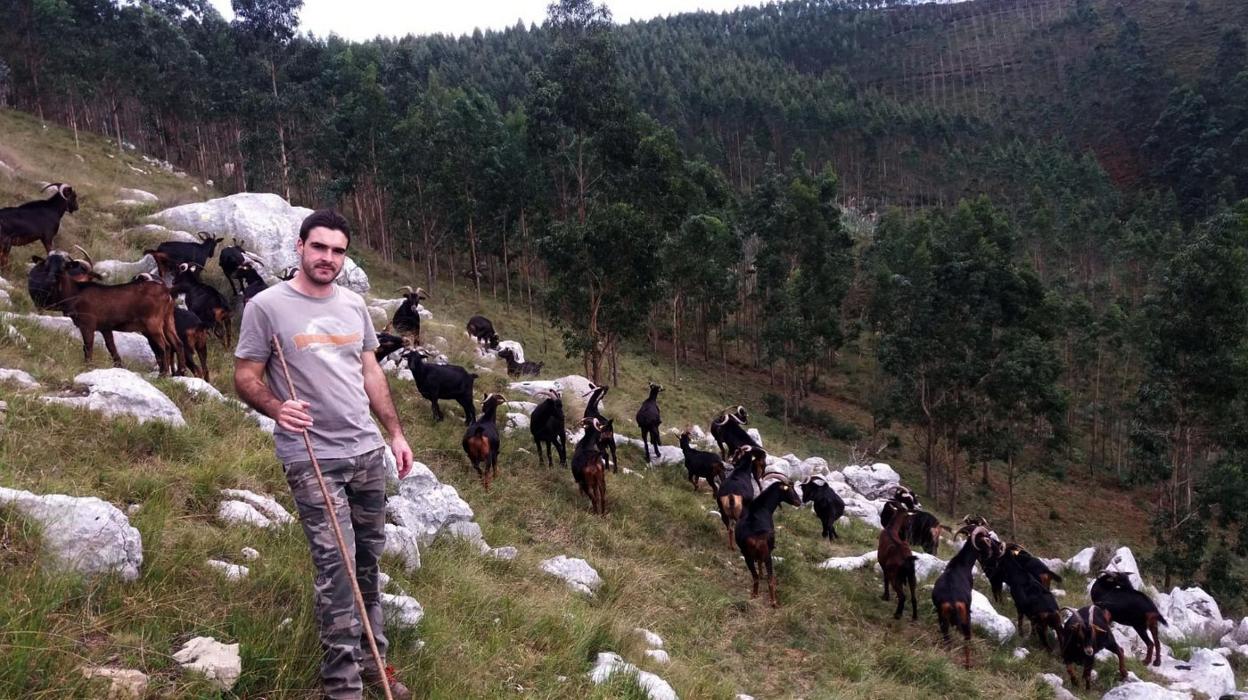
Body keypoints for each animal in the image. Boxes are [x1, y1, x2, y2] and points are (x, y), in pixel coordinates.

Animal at [46, 248, 182, 374]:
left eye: (63, 265)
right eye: (47, 262)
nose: (51, 277)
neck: (76, 292)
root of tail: (167, 291)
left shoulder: (88, 325)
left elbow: (88, 346)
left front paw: (87, 366)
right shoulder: (105, 328)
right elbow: (111, 347)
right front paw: (119, 366)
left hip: (153, 323)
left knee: (165, 346)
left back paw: (164, 374)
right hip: (168, 320)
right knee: (177, 343)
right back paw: (179, 371)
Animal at [733, 474, 803, 606]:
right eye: (790, 488)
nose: (799, 502)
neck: (761, 507)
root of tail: (755, 538)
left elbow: (758, 564)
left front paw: (761, 575)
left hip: (747, 555)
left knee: (754, 576)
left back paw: (755, 594)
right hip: (768, 555)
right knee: (770, 579)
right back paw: (774, 602)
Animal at [933, 526, 998, 668]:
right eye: (987, 539)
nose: (991, 552)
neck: (961, 563)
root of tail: (952, 601)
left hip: (943, 618)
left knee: (947, 639)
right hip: (966, 618)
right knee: (966, 641)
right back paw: (968, 666)